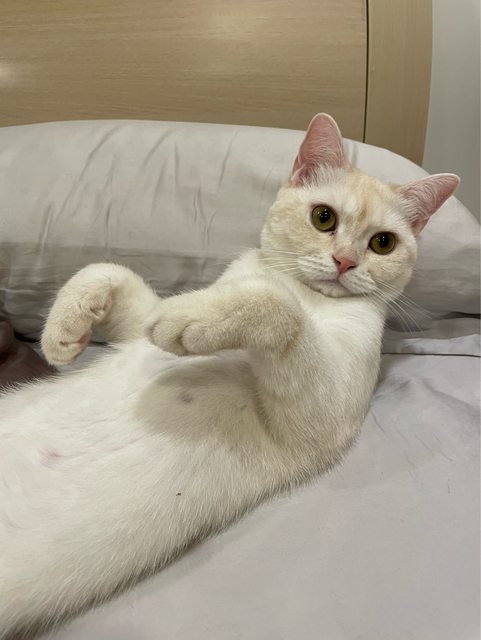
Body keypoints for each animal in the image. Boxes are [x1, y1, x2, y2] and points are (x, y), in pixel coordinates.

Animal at [0, 113, 459, 638]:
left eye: (383, 243)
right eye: (324, 217)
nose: (345, 261)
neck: (305, 290)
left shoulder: (324, 420)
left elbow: (273, 305)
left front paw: (197, 320)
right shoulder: (142, 324)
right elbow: (110, 271)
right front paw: (64, 328)